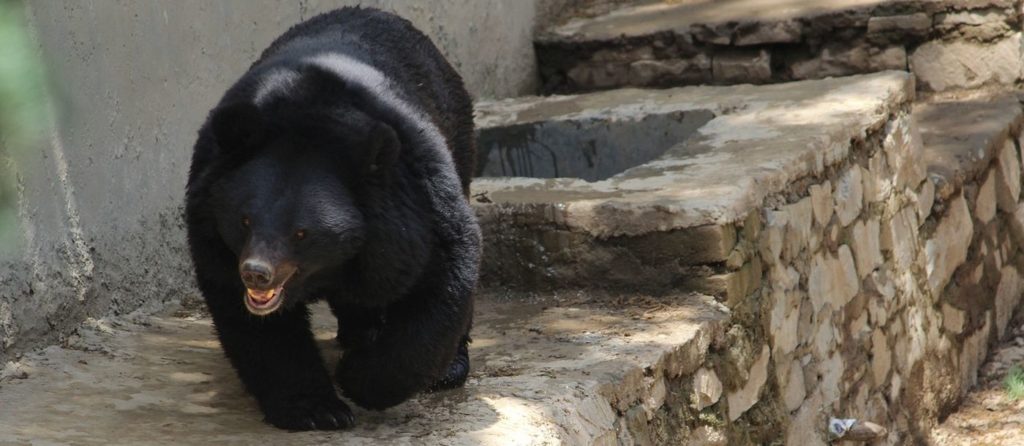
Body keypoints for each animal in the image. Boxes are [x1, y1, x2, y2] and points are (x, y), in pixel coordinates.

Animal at [183, 6, 479, 429]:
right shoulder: (210, 222)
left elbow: (442, 277)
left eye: (301, 233)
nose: (256, 274)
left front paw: (359, 378)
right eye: (244, 221)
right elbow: (254, 322)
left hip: (458, 134)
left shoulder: (415, 202)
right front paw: (316, 409)